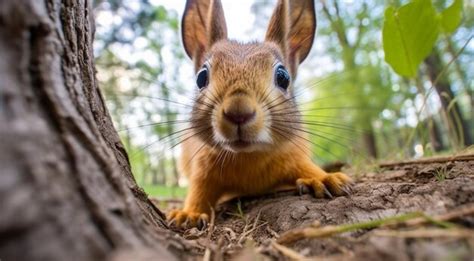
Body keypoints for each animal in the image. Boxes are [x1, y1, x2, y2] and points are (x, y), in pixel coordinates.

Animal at [167, 0, 352, 228]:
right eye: (201, 77)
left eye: (283, 77)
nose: (239, 112)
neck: (247, 155)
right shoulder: (202, 171)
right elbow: (198, 193)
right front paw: (188, 214)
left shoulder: (294, 155)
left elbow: (307, 167)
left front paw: (326, 178)